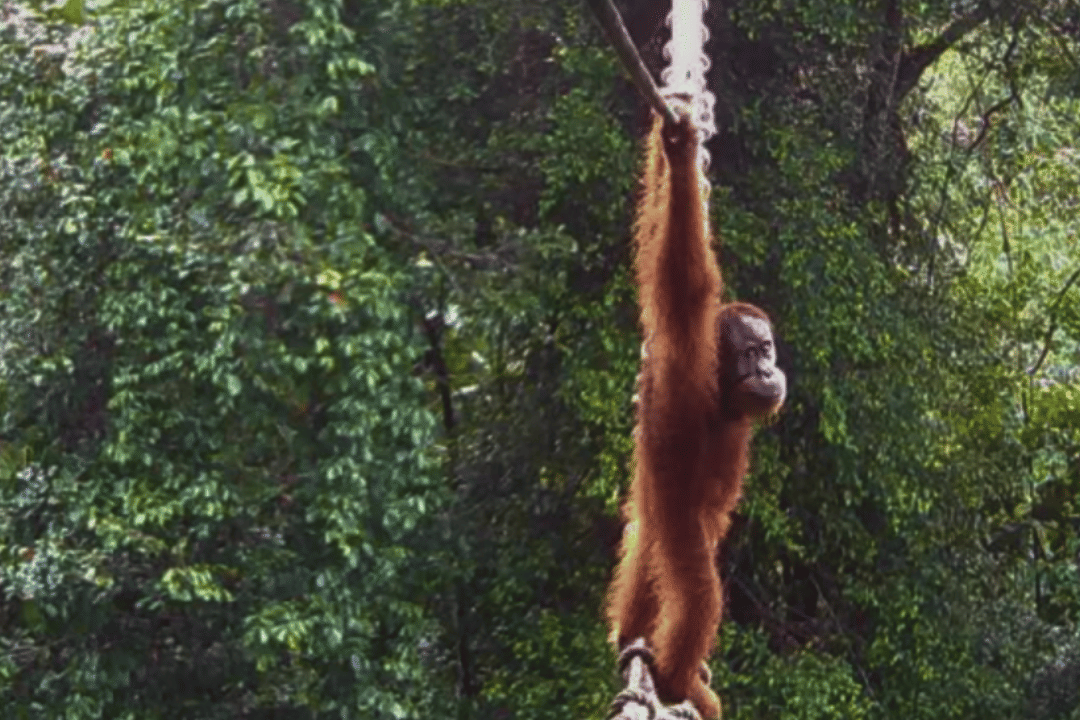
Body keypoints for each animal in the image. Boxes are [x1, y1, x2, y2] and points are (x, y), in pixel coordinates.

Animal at [605, 105, 786, 720]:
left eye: (768, 350)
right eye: (751, 354)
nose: (769, 371)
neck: (722, 395)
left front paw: (672, 152)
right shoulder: (686, 350)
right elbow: (683, 273)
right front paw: (681, 155)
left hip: (652, 511)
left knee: (643, 550)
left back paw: (632, 641)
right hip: (676, 523)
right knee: (698, 591)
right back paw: (677, 677)